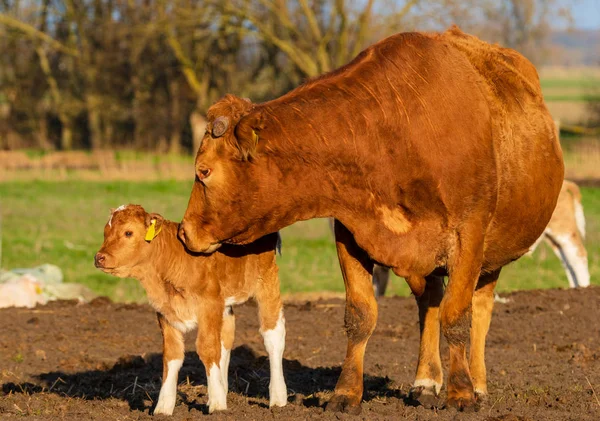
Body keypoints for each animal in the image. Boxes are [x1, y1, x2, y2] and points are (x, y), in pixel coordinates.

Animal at [95, 203, 288, 414]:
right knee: (226, 340)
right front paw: (163, 408)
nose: (99, 257)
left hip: (267, 282)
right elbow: (172, 355)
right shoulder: (166, 313)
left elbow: (207, 348)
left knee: (272, 335)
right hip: (226, 303)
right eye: (105, 231)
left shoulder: (209, 305)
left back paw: (278, 398)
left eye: (128, 232)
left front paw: (217, 405)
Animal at [177, 27, 564, 410]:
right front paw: (346, 392)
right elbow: (361, 315)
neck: (397, 131)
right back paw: (425, 381)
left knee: (479, 310)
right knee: (429, 305)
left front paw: (461, 394)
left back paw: (478, 384)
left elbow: (457, 316)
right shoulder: (351, 232)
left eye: (204, 171)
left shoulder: (469, 235)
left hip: (492, 252)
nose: (185, 231)